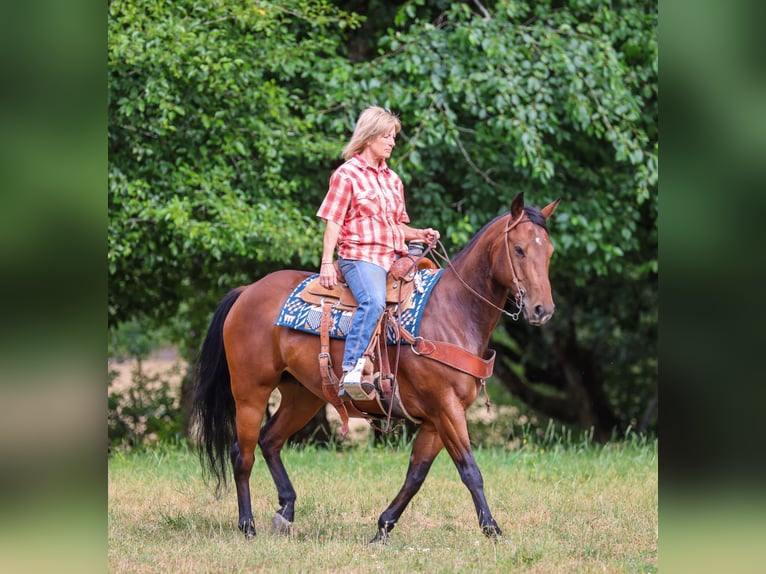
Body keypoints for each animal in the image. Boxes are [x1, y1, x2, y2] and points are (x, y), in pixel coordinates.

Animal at [192, 192, 560, 543]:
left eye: (550, 252)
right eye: (519, 249)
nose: (542, 310)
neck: (453, 311)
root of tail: (247, 292)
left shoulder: (436, 418)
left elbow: (416, 475)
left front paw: (383, 528)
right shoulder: (447, 409)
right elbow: (470, 470)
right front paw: (492, 530)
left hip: (303, 396)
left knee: (270, 441)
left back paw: (286, 511)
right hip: (250, 392)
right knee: (242, 453)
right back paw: (247, 525)